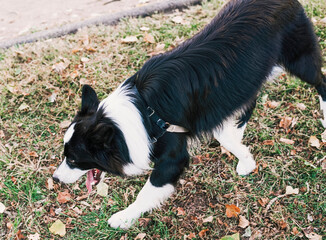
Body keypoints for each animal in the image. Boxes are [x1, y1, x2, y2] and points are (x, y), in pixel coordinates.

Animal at [51, 0, 326, 230]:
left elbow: (147, 191)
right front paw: (245, 158)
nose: (55, 179)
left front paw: (124, 217)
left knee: (320, 81)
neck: (142, 114)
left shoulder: (173, 154)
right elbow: (228, 137)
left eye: (73, 159)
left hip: (299, 59)